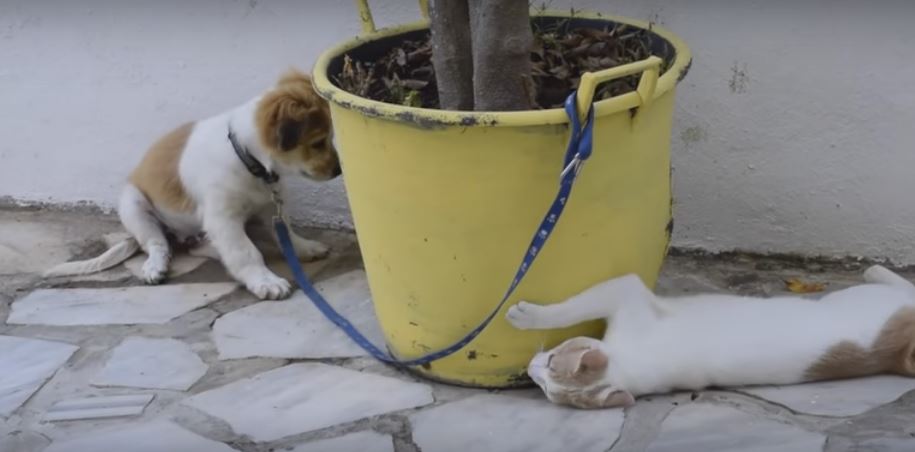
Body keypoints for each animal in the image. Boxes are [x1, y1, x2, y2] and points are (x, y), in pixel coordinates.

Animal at [45, 69, 340, 300]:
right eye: (318, 143)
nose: (338, 171)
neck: (245, 157)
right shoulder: (222, 219)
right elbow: (245, 252)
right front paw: (265, 281)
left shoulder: (269, 206)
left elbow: (285, 233)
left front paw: (304, 248)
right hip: (133, 205)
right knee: (157, 244)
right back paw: (155, 267)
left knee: (198, 246)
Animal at [504, 264, 915, 410]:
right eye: (546, 391)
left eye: (553, 362)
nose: (530, 368)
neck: (631, 364)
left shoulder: (626, 292)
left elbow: (573, 307)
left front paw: (528, 315)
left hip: (885, 301)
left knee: (905, 286)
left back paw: (875, 270)